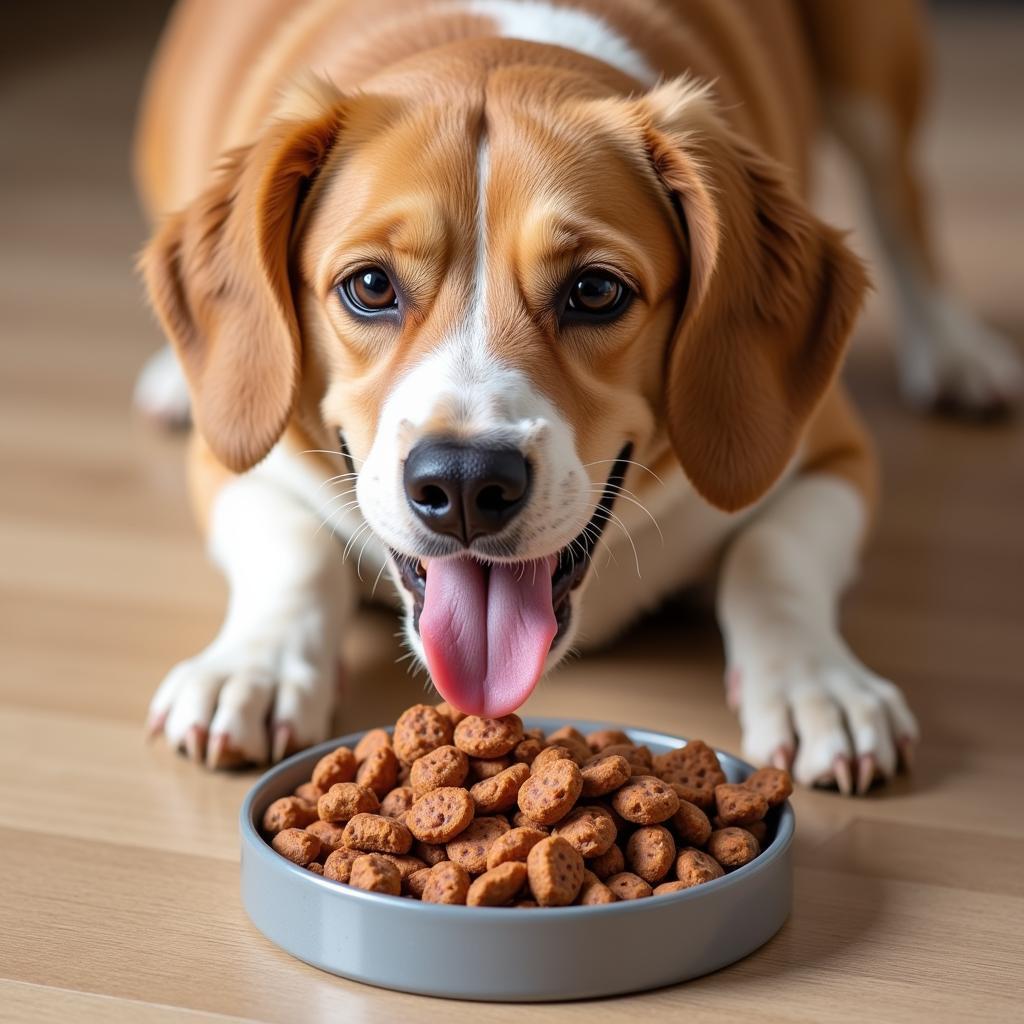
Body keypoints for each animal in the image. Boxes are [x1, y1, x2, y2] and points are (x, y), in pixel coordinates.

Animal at [134, 0, 1015, 790]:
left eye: (595, 291)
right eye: (370, 286)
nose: (464, 484)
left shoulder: (832, 454)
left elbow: (771, 556)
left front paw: (815, 686)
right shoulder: (238, 464)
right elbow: (296, 550)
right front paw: (252, 668)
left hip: (869, 65)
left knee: (903, 198)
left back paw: (958, 350)